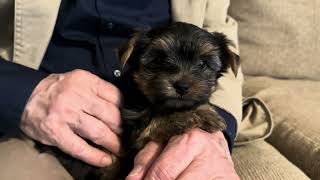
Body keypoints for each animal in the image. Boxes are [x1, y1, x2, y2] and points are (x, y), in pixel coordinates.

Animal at [38, 22, 239, 180]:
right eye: (158, 60)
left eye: (203, 64)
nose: (182, 85)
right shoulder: (134, 134)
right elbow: (156, 123)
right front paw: (197, 116)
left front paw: (205, 110)